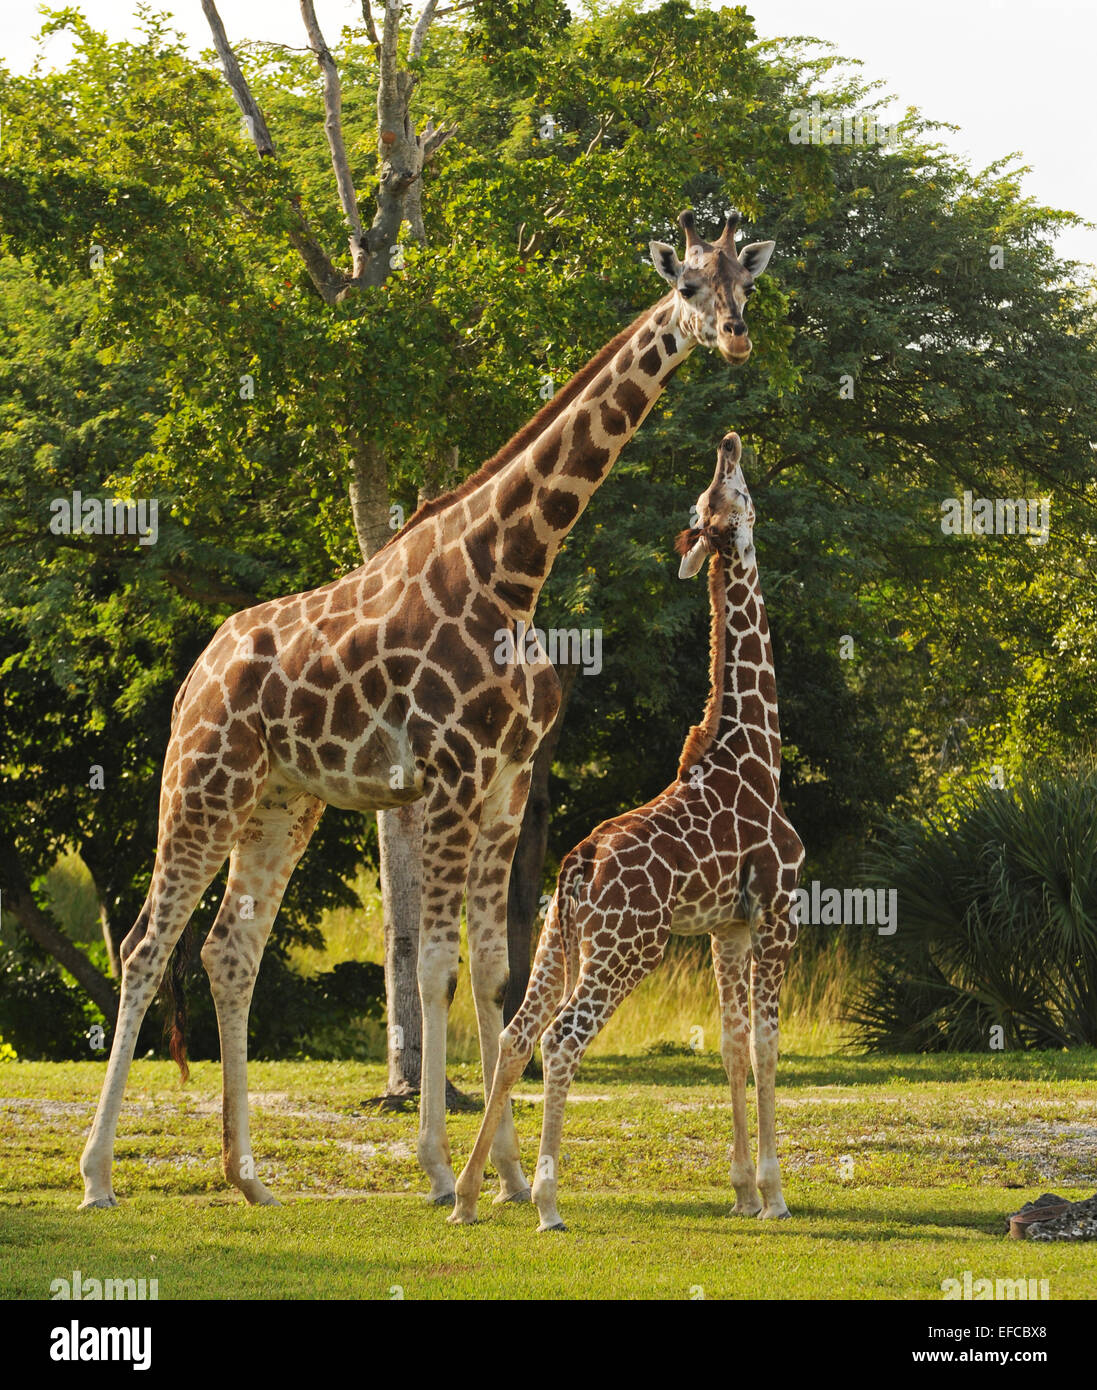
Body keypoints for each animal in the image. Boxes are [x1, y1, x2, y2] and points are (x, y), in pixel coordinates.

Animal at [451, 432, 804, 1231]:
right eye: (728, 492)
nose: (729, 442)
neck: (757, 752)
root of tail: (579, 863)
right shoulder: (777, 913)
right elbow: (769, 1049)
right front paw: (773, 1195)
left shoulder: (726, 926)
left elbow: (732, 1048)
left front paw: (741, 1190)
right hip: (630, 945)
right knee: (561, 1038)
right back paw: (547, 1202)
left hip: (561, 934)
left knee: (518, 1033)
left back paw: (467, 1194)